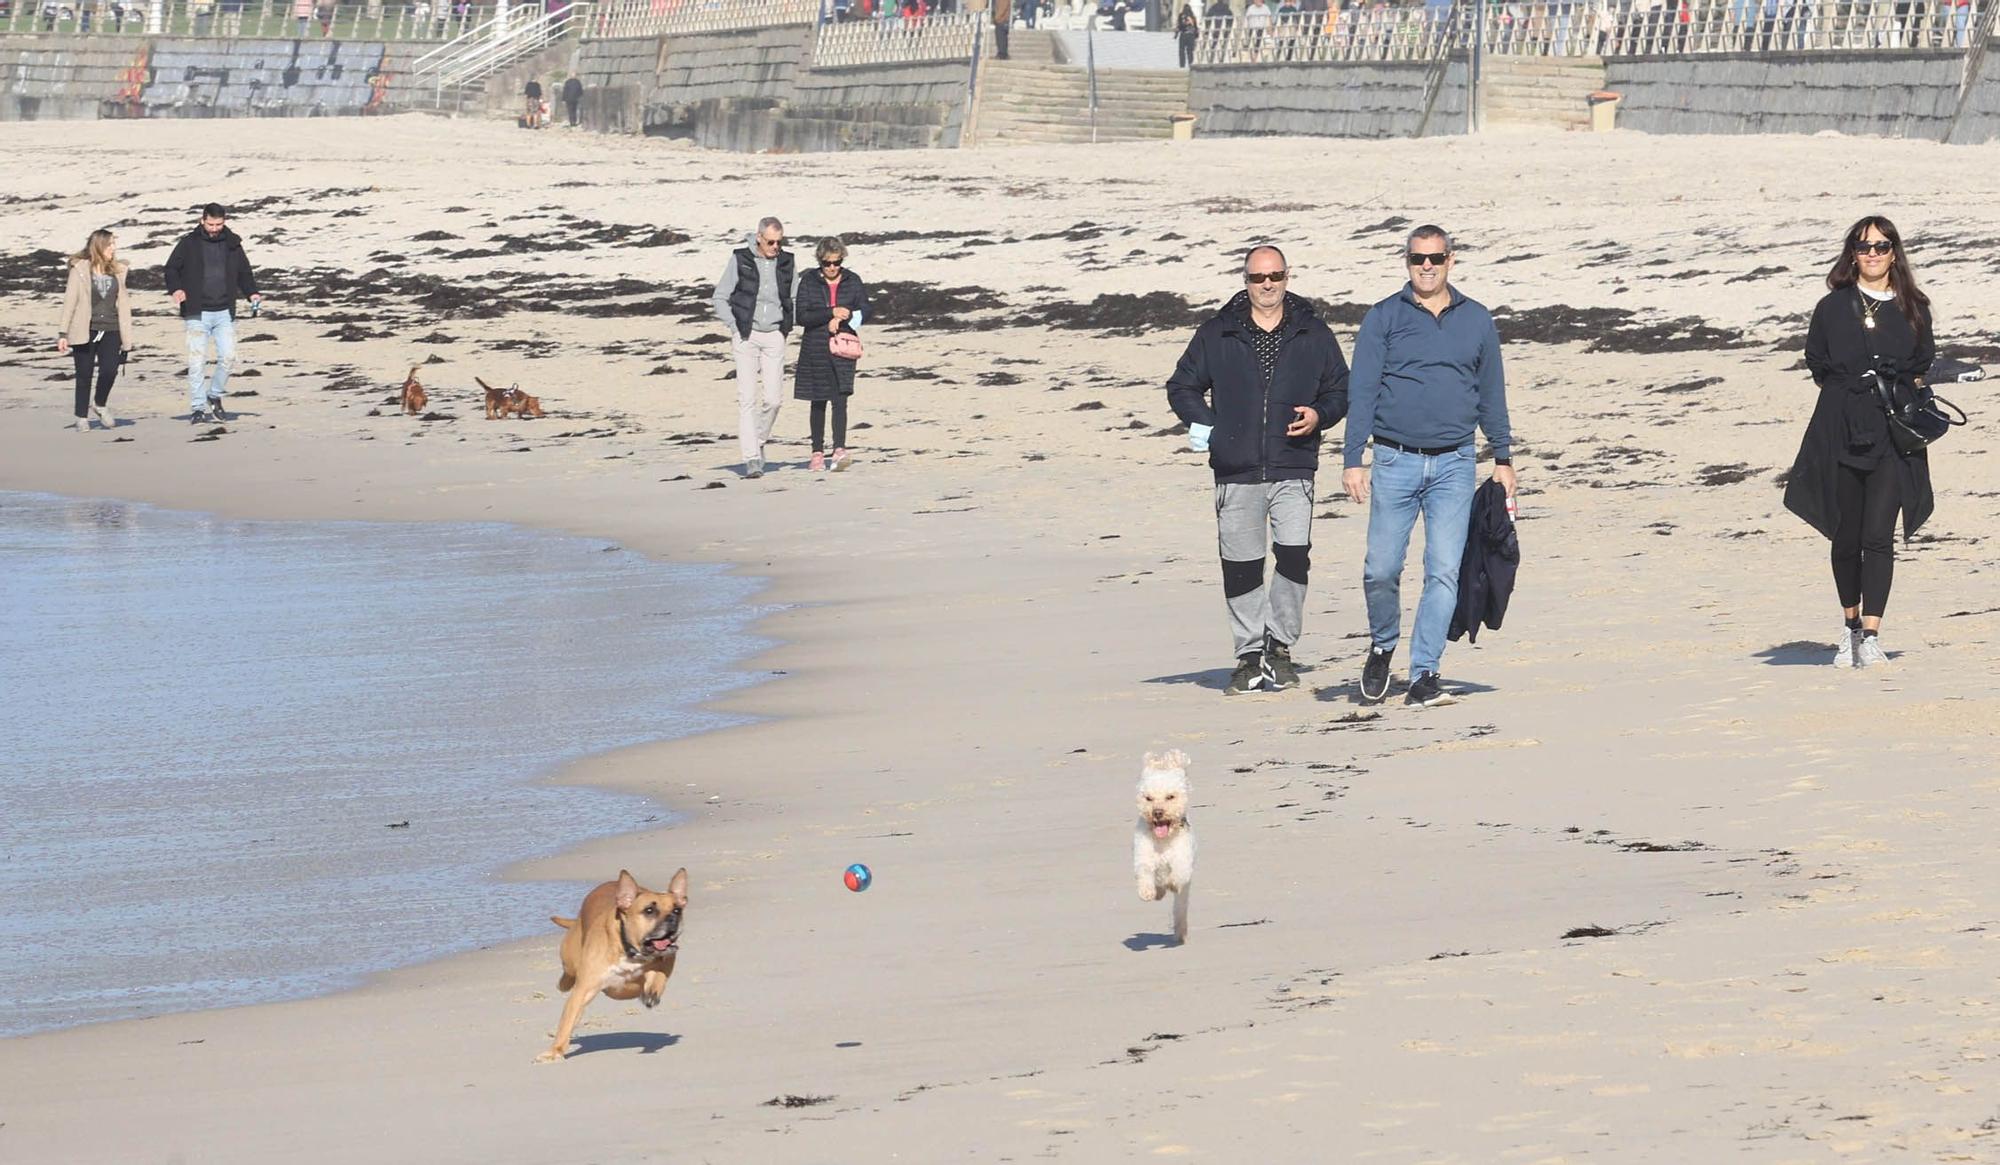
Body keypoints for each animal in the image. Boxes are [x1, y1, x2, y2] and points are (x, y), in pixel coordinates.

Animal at [536, 868, 692, 1064]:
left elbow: (658, 973)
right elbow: (567, 1022)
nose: (672, 918)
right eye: (649, 910)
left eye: (677, 910)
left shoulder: (667, 957)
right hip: (570, 961)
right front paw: (555, 1051)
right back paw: (563, 984)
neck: (629, 949)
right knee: (567, 977)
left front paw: (652, 989)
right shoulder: (582, 991)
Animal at [1136, 748, 1192, 948]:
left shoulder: (1183, 859)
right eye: (1148, 798)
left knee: (1180, 912)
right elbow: (1145, 873)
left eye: (1170, 797)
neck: (1162, 840)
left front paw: (1171, 882)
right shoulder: (1143, 856)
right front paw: (1147, 892)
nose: (1157, 812)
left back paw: (1181, 934)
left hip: (1183, 898)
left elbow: (1177, 874)